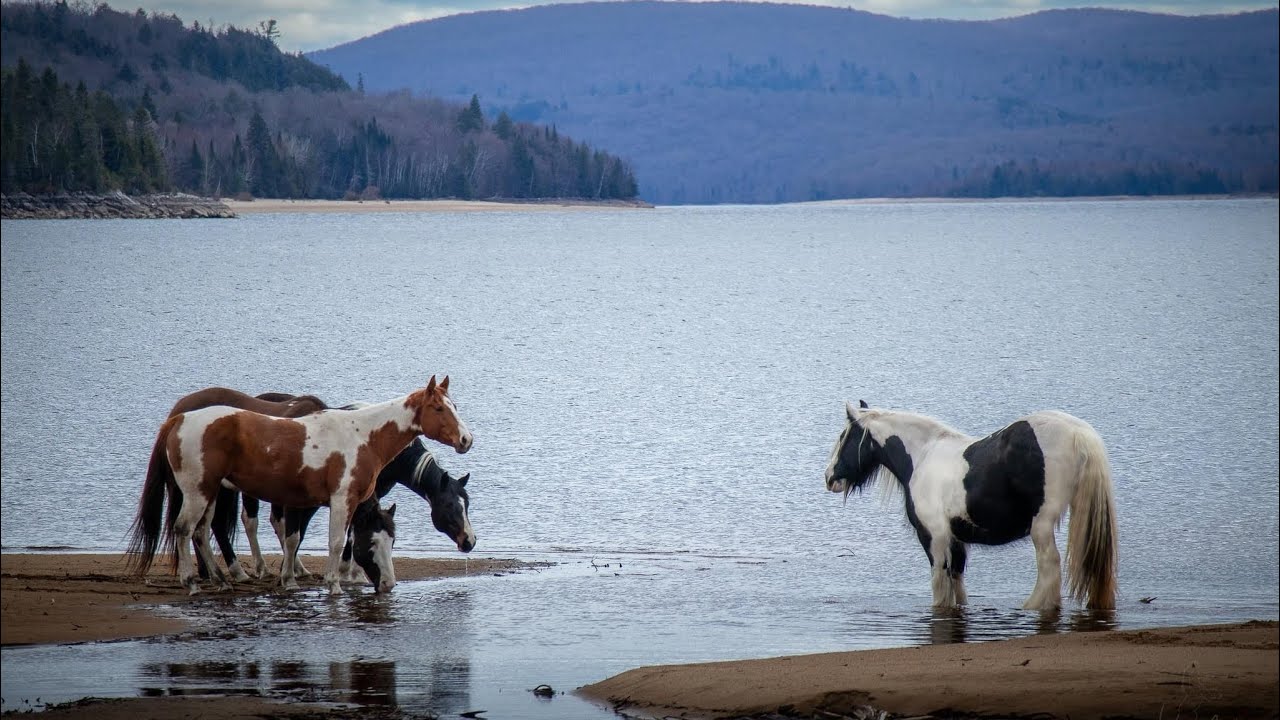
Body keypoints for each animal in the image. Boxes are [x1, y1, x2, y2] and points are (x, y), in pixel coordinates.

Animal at [127, 375, 472, 595]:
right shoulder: (340, 499)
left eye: (392, 541)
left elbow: (299, 538)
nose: (466, 439)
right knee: (184, 529)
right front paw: (332, 584)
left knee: (201, 532)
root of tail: (179, 418)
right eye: (439, 408)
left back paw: (221, 580)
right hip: (198, 493)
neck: (362, 434)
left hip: (211, 492)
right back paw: (193, 582)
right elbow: (334, 542)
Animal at [824, 401, 1117, 611]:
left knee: (1049, 566)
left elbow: (940, 585)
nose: (829, 478)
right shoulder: (956, 541)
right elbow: (957, 584)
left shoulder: (934, 537)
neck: (923, 456)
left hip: (1041, 526)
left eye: (843, 436)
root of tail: (1078, 432)